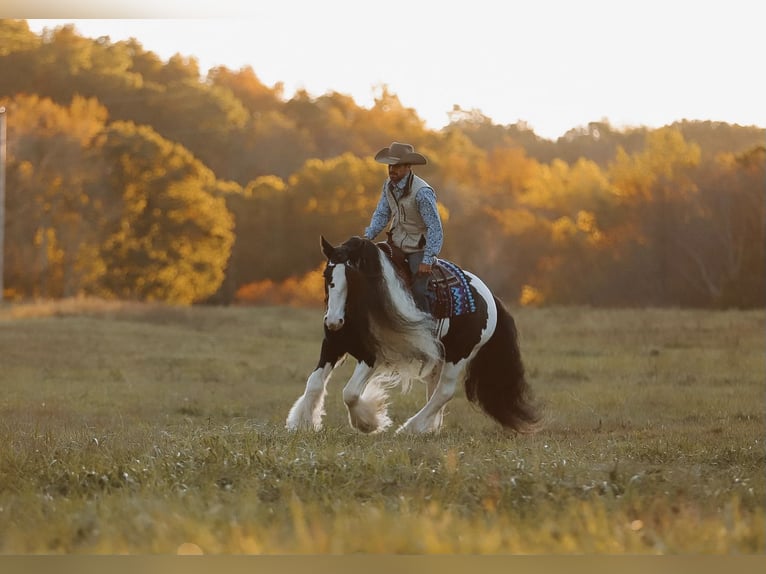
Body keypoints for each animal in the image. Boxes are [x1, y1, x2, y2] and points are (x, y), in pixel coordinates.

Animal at [284, 236, 544, 434]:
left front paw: (369, 423)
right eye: (327, 276)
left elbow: (350, 393)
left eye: (354, 278)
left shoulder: (372, 355)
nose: (334, 321)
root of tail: (490, 297)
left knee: (444, 392)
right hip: (440, 356)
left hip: (459, 354)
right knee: (434, 390)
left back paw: (410, 428)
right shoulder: (332, 345)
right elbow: (314, 383)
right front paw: (302, 424)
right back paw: (428, 428)